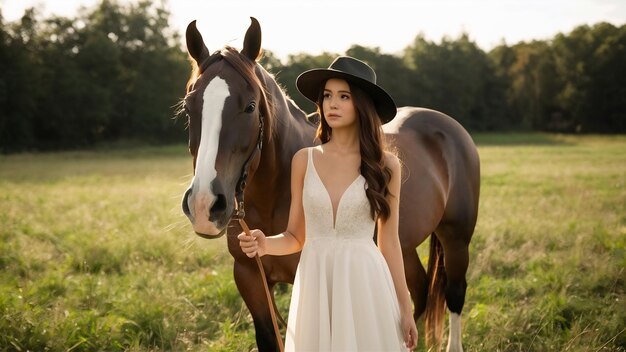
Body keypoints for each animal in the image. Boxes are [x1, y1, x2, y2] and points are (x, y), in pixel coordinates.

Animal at [179, 18, 478, 352]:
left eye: (251, 107)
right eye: (189, 106)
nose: (204, 205)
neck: (274, 197)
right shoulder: (250, 279)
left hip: (456, 239)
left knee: (454, 293)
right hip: (403, 247)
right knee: (417, 290)